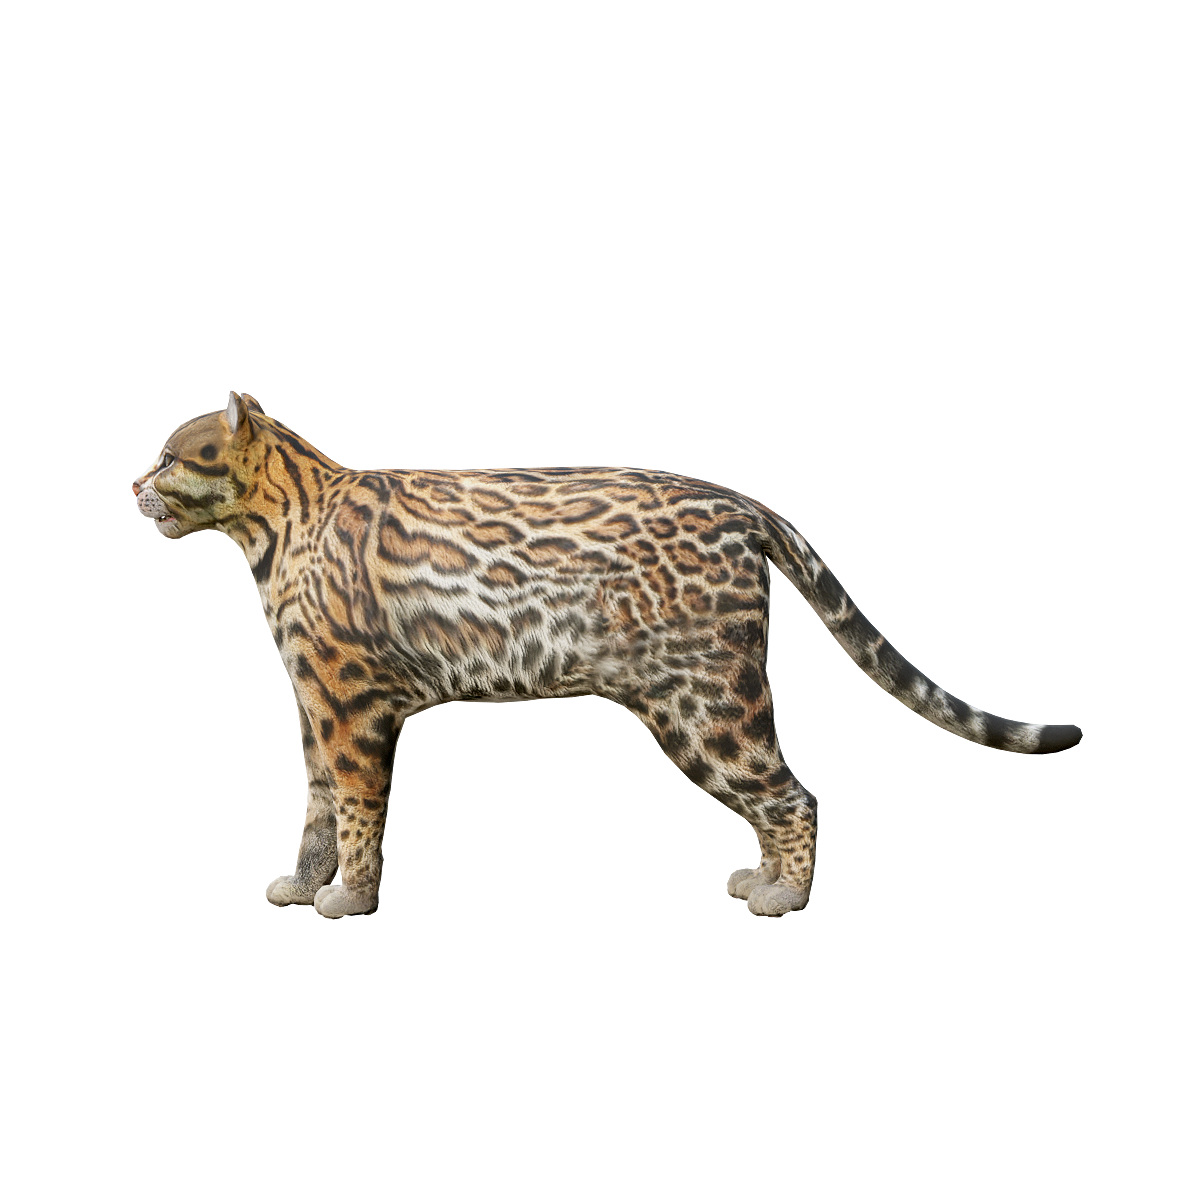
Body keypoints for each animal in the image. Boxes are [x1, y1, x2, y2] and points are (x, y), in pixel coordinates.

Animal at [133, 393, 1082, 918]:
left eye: (173, 457)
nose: (134, 485)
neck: (280, 520)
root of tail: (744, 503)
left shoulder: (350, 701)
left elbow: (357, 809)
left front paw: (353, 895)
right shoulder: (315, 705)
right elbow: (319, 811)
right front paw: (303, 880)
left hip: (710, 699)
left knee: (794, 792)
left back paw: (787, 894)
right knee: (781, 793)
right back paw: (764, 882)